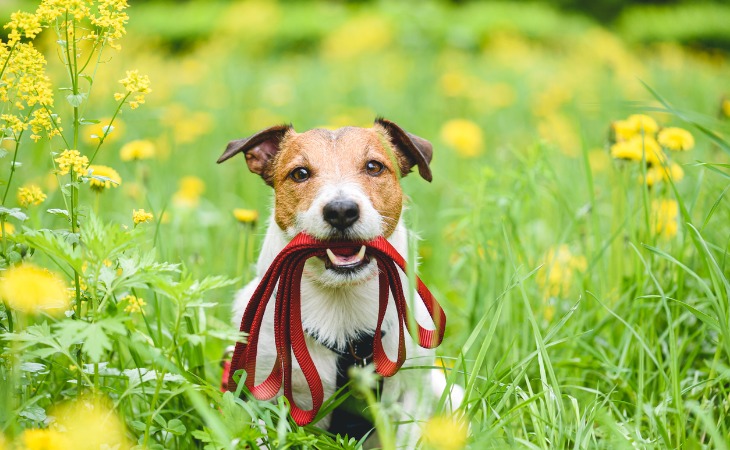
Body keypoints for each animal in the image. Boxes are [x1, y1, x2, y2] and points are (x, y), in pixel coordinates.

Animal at [216, 117, 458, 446]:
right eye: (300, 173)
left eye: (374, 167)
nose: (341, 210)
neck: (341, 306)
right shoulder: (259, 393)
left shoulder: (412, 392)